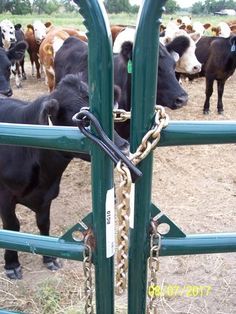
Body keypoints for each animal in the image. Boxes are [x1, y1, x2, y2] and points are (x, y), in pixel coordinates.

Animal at [0, 73, 129, 280]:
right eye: (83, 121)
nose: (124, 147)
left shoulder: (46, 196)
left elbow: (44, 223)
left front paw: (49, 259)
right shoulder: (5, 196)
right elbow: (12, 227)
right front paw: (12, 264)